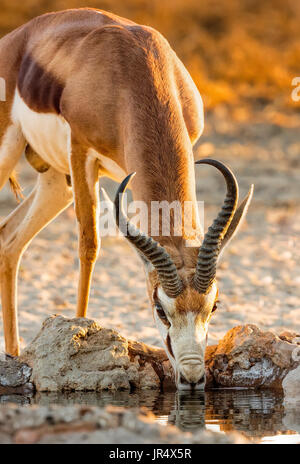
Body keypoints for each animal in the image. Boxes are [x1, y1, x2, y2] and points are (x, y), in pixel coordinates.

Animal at [0, 9, 253, 390]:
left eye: (214, 305)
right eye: (160, 308)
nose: (193, 377)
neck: (136, 68)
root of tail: (15, 38)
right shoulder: (81, 151)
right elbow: (89, 246)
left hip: (57, 181)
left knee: (9, 239)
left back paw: (14, 355)